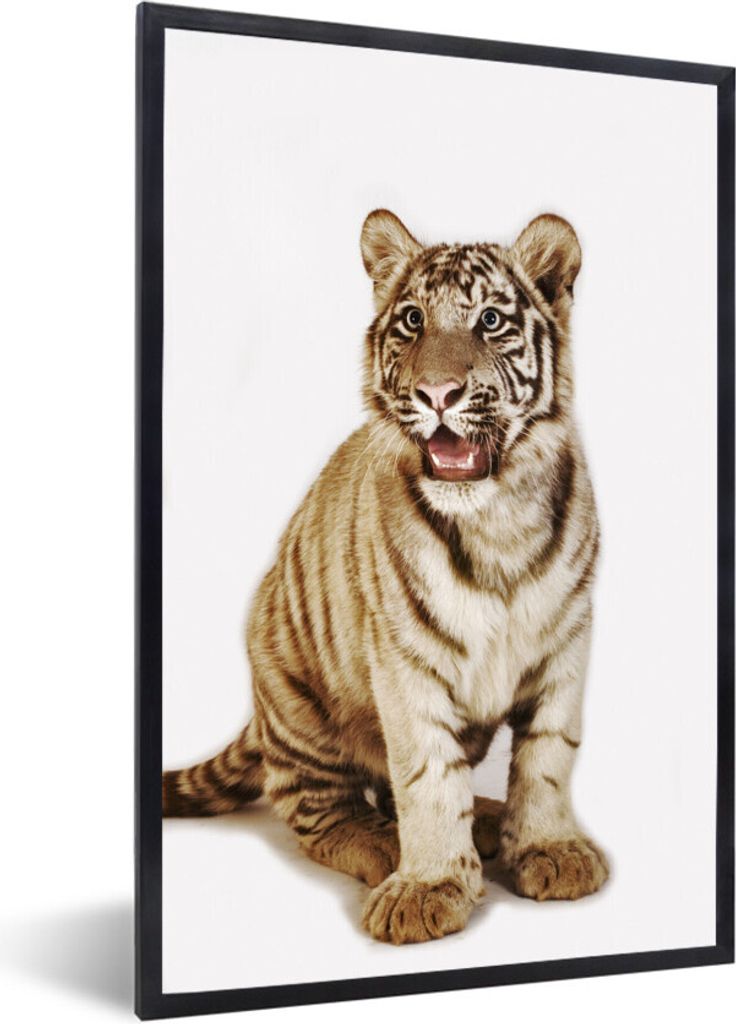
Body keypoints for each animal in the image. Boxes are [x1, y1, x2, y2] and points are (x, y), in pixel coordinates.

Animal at [163, 208, 609, 945]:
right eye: (411, 321)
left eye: (490, 320)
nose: (437, 394)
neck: (497, 520)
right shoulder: (405, 661)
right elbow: (426, 775)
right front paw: (427, 887)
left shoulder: (566, 645)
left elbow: (549, 757)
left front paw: (550, 849)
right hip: (297, 701)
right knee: (323, 814)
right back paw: (385, 846)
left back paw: (489, 824)